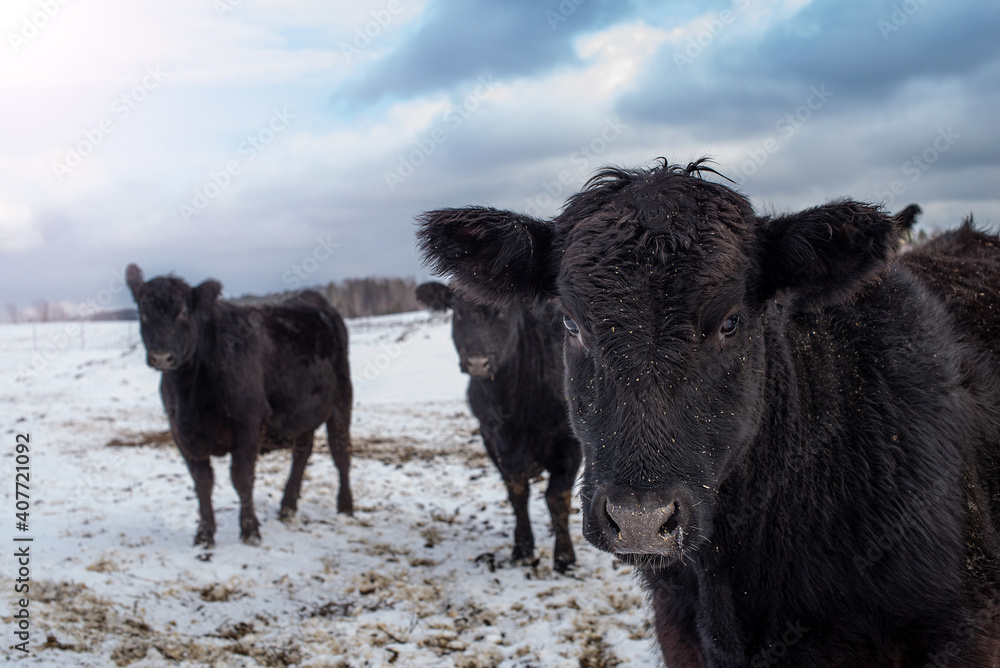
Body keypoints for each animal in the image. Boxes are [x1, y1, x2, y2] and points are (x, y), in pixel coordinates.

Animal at [125, 264, 353, 547]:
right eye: (143, 314)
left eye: (183, 312)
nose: (161, 357)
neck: (191, 392)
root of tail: (311, 298)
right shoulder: (181, 432)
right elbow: (202, 482)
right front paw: (205, 534)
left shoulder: (248, 423)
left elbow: (242, 478)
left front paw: (250, 531)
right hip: (302, 409)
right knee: (302, 452)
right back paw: (288, 506)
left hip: (341, 399)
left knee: (340, 452)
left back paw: (345, 506)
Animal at [416, 281, 582, 573]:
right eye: (457, 312)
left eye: (503, 313)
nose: (477, 362)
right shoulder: (500, 441)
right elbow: (517, 493)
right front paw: (523, 548)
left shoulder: (569, 446)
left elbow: (557, 497)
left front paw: (564, 557)